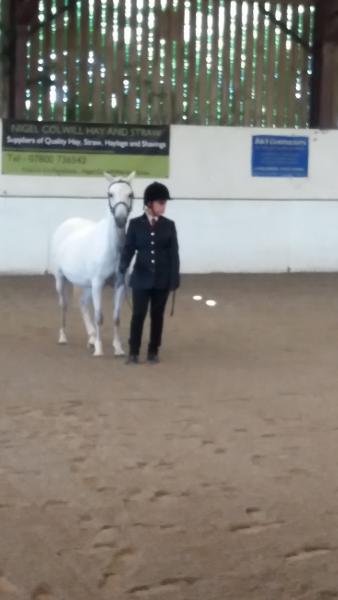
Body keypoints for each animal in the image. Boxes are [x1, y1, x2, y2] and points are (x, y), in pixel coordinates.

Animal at [50, 170, 135, 356]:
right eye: (110, 194)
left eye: (130, 194)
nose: (120, 219)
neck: (112, 247)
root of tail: (66, 224)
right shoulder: (98, 284)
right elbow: (99, 316)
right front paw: (99, 349)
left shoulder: (119, 284)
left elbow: (116, 318)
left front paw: (118, 348)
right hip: (61, 280)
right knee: (63, 305)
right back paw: (63, 337)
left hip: (87, 284)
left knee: (82, 304)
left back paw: (90, 337)